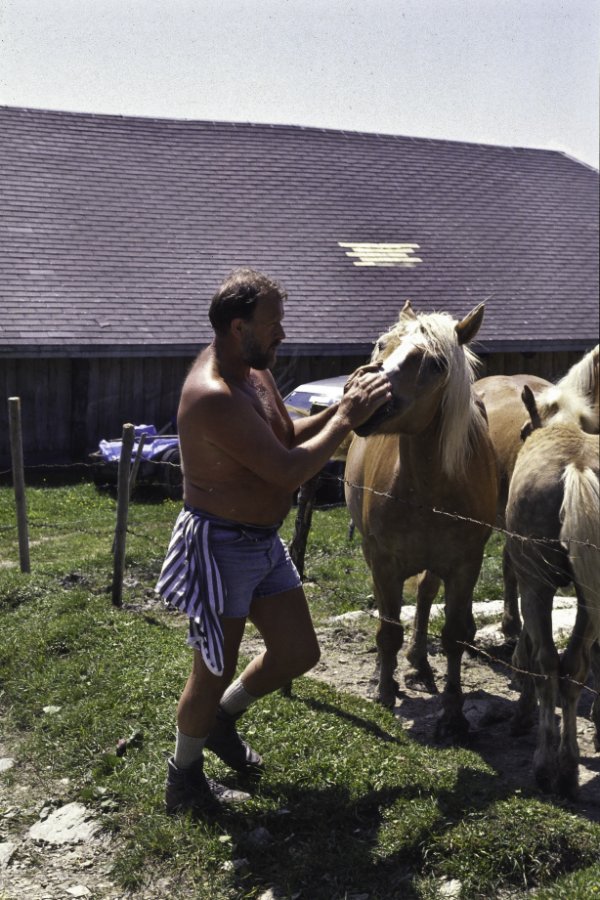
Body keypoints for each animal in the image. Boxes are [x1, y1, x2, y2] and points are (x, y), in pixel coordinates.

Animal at [345, 300, 497, 740]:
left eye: (435, 364)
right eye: (383, 345)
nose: (360, 391)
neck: (428, 488)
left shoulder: (465, 565)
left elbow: (453, 637)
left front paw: (453, 714)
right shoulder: (383, 561)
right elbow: (388, 627)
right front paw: (383, 690)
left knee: (427, 598)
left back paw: (420, 666)